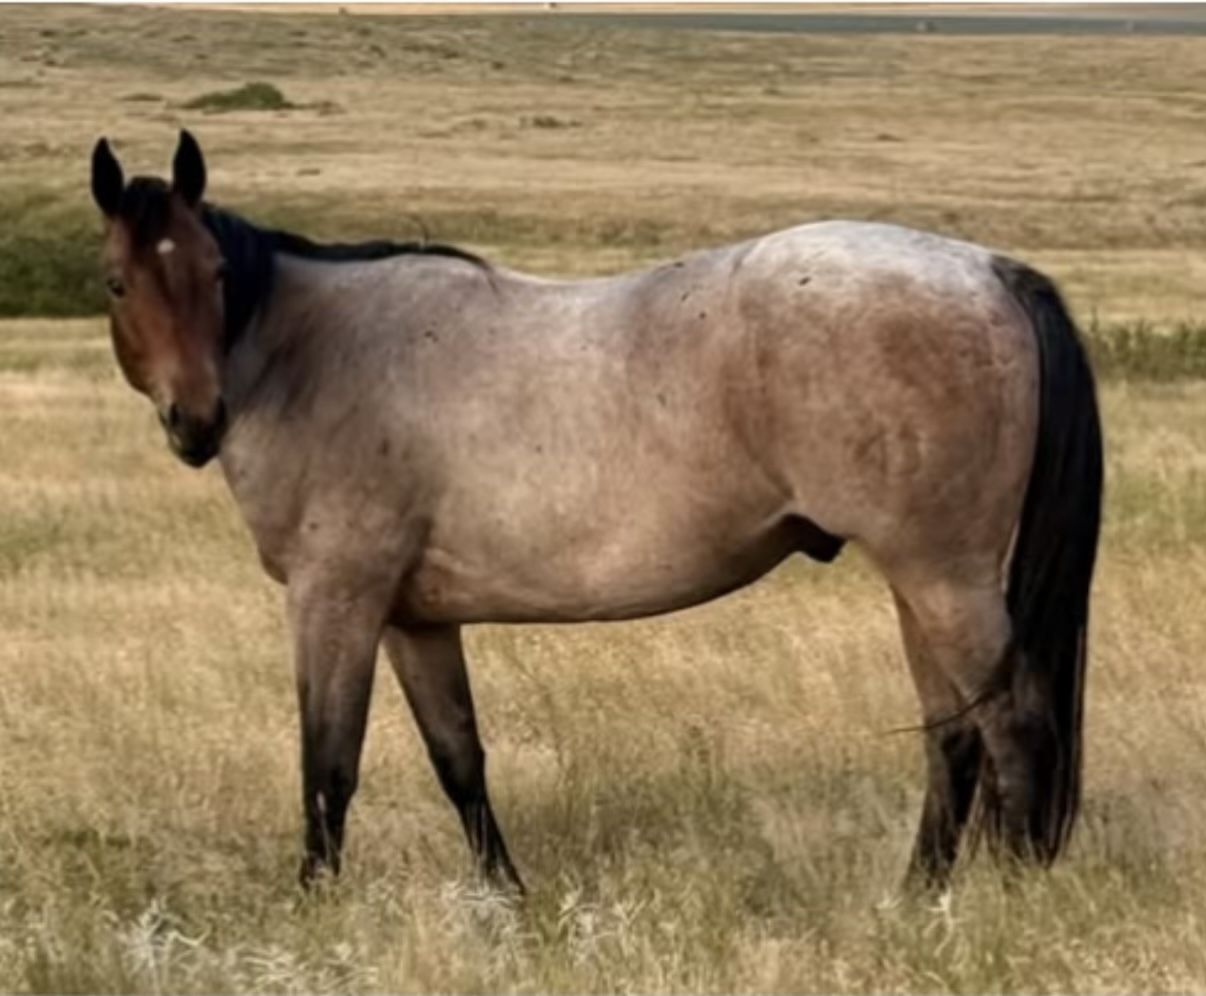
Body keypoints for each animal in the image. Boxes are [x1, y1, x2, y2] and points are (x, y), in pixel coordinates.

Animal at [89, 130, 1102, 894]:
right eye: (119, 281)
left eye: (217, 273)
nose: (197, 421)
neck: (319, 356)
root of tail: (986, 268)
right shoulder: (415, 618)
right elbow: (458, 759)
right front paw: (508, 897)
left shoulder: (333, 600)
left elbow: (327, 764)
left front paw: (315, 906)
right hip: (920, 579)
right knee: (954, 733)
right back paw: (916, 896)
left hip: (944, 578)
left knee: (1013, 724)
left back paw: (1010, 899)